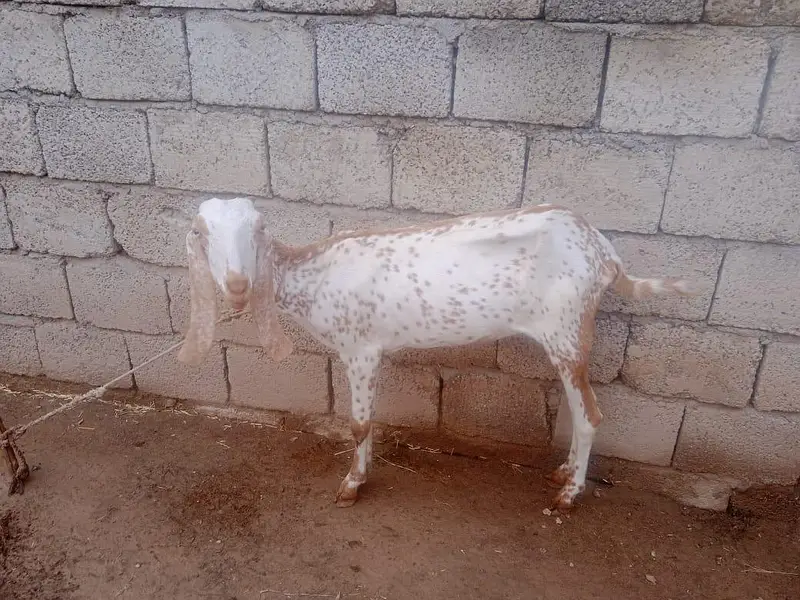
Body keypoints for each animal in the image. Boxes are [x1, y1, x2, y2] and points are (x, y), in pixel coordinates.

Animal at [177, 197, 695, 511]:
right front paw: (362, 473)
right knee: (577, 409)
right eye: (200, 232)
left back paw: (569, 494)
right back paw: (563, 472)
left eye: (258, 228)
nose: (237, 285)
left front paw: (352, 486)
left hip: (568, 328)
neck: (315, 276)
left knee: (590, 413)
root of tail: (605, 254)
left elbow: (359, 423)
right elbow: (368, 422)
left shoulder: (360, 347)